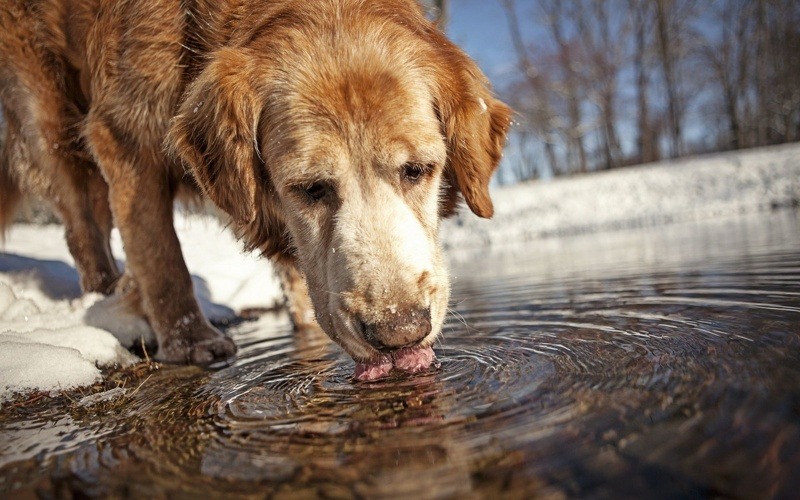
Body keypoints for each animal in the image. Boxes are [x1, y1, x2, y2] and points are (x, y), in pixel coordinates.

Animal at [0, 0, 512, 378]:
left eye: (417, 170)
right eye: (310, 188)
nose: (399, 333)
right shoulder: (123, 132)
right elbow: (161, 255)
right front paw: (191, 342)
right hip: (50, 116)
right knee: (82, 228)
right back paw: (106, 301)